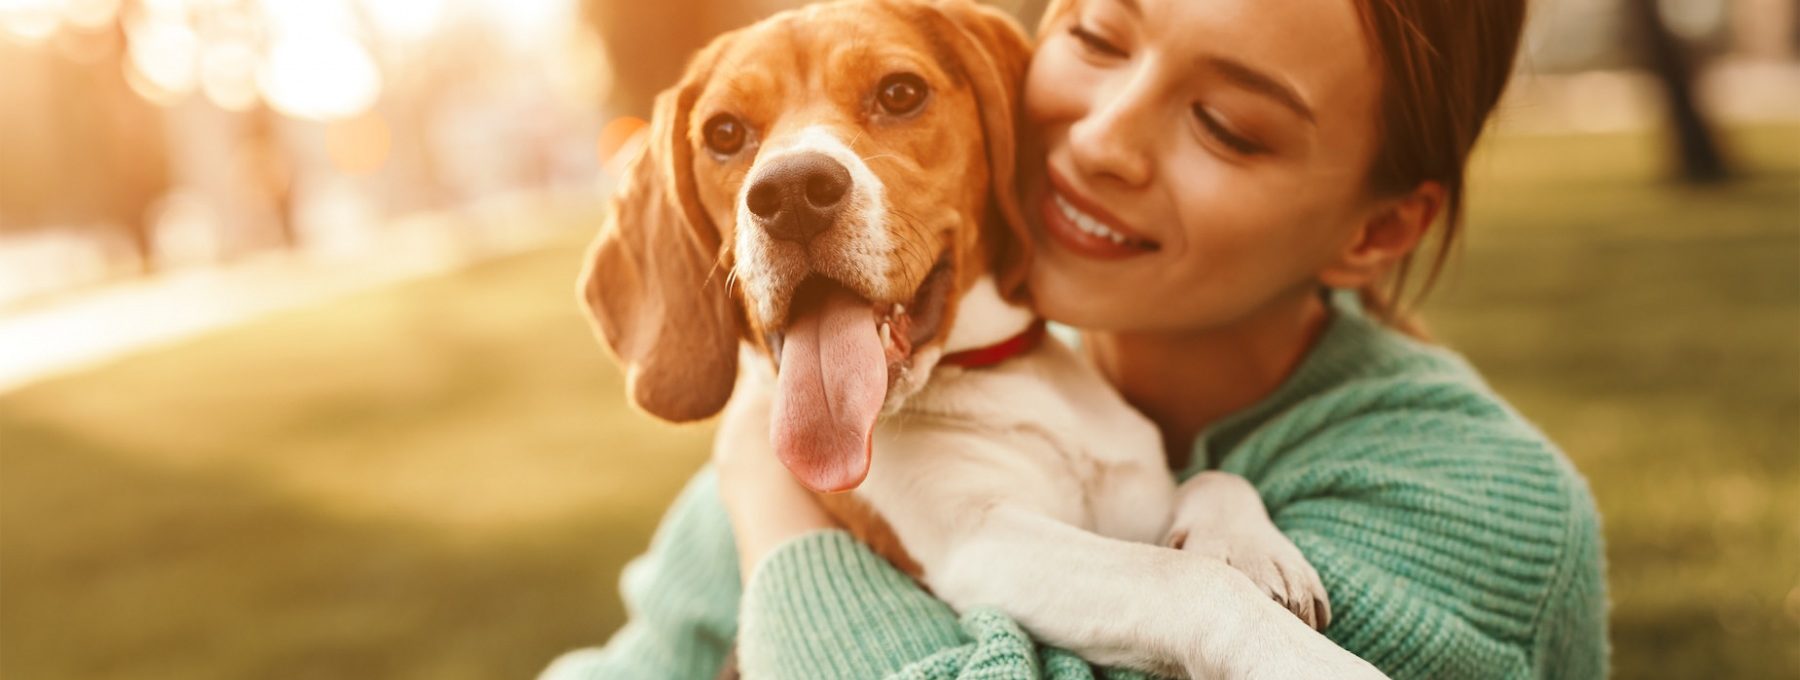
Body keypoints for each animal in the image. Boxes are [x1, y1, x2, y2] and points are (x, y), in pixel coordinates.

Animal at [583, 2, 1382, 676]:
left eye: (900, 93)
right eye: (724, 134)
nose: (789, 193)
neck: (994, 377)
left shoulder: (1135, 495)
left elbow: (1214, 482)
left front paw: (1248, 545)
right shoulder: (981, 543)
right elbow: (1183, 581)